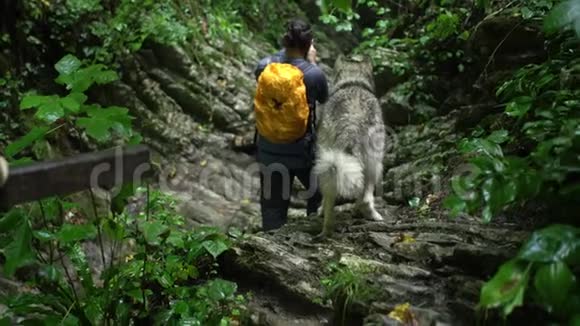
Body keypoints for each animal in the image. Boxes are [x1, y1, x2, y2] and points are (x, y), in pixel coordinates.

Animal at [312, 54, 386, 238]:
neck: (353, 81)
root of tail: (351, 123)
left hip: (328, 164)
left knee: (329, 198)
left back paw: (325, 230)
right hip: (375, 164)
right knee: (365, 198)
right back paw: (370, 213)